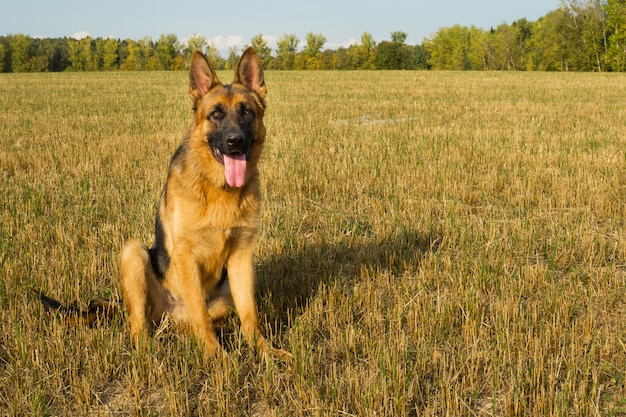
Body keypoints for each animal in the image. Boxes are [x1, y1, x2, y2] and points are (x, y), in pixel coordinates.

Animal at [119, 48, 288, 360]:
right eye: (216, 114)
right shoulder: (186, 256)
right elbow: (200, 312)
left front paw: (265, 350)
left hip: (226, 293)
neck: (219, 188)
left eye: (247, 111)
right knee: (140, 323)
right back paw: (145, 351)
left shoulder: (242, 257)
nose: (235, 142)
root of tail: (173, 316)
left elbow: (250, 315)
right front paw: (215, 356)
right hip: (133, 252)